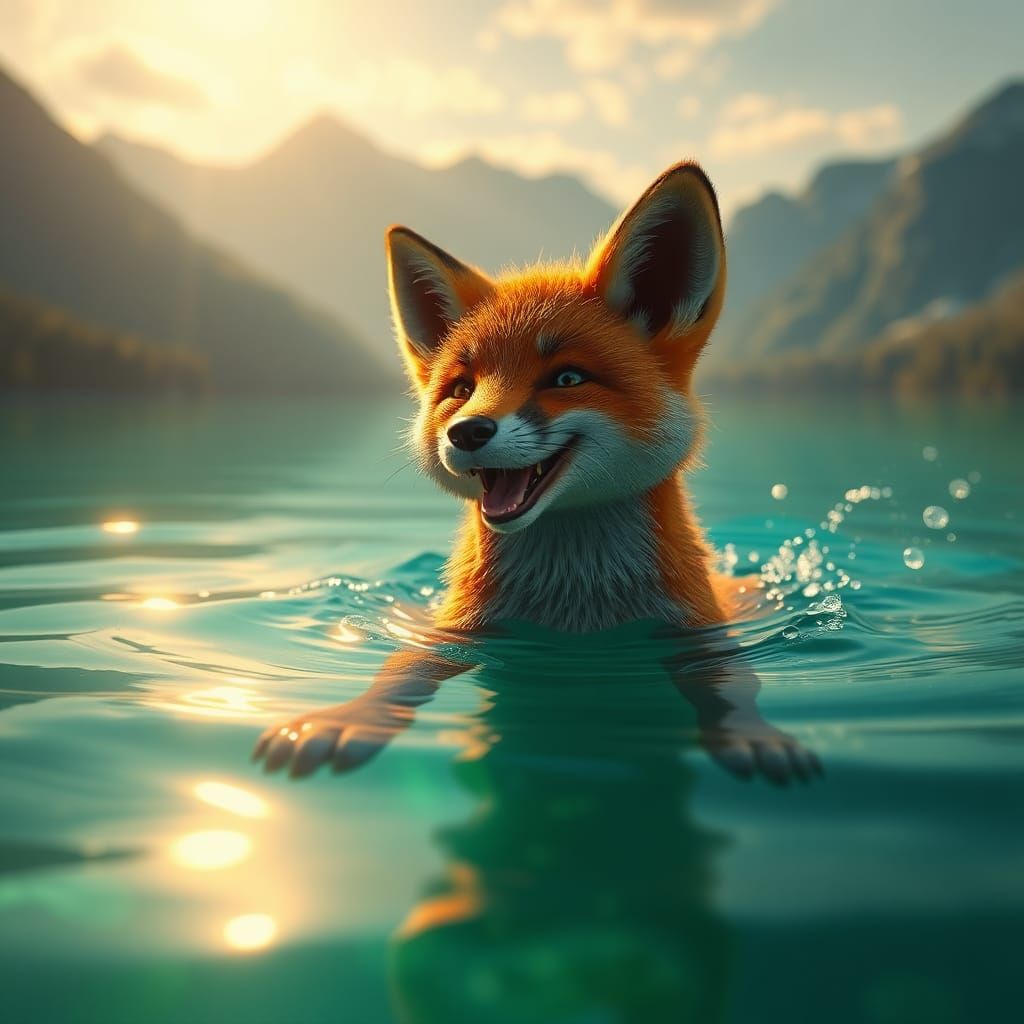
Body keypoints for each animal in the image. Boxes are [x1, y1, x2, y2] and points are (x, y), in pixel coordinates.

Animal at [254, 162, 821, 784]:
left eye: (567, 379)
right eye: (461, 389)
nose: (466, 432)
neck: (574, 609)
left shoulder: (698, 632)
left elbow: (736, 684)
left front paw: (753, 732)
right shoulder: (458, 630)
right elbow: (399, 669)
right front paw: (349, 717)